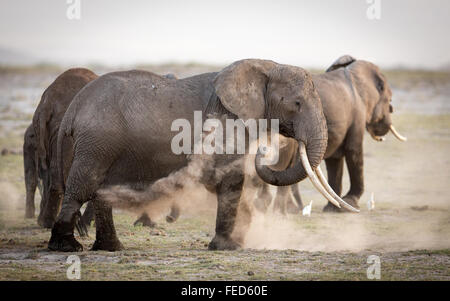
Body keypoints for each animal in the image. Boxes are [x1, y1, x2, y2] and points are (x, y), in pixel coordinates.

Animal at [46, 58, 358, 251]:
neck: (266, 67)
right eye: (296, 103)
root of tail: (74, 108)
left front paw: (239, 240)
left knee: (102, 191)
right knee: (83, 186)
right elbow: (230, 180)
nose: (267, 148)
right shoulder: (227, 121)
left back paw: (111, 249)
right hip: (97, 142)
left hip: (104, 145)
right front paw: (229, 248)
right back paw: (67, 247)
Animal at [253, 54, 408, 213]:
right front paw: (350, 203)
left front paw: (332, 209)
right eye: (389, 100)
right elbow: (354, 151)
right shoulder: (357, 112)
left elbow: (335, 160)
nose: (391, 110)